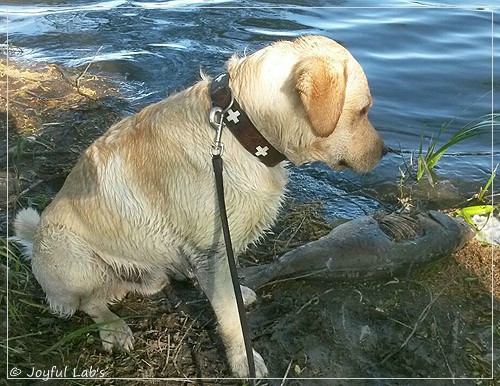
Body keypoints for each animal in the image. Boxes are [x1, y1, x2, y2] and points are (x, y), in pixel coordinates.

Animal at [12, 36, 386, 376]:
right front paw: (244, 362)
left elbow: (229, 290)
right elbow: (231, 318)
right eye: (363, 110)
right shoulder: (214, 249)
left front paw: (238, 293)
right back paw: (113, 327)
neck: (238, 128)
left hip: (145, 271)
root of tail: (35, 238)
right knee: (89, 303)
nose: (386, 152)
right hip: (72, 255)